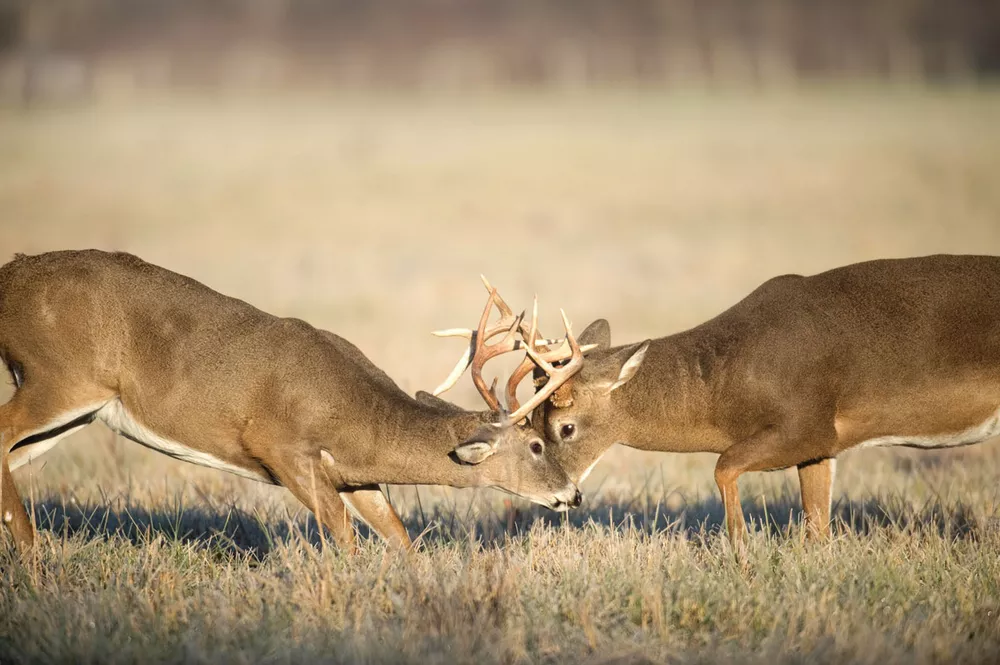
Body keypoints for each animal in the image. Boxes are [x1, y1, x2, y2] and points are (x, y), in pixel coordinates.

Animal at [0, 252, 584, 552]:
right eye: (536, 445)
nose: (573, 495)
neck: (358, 417)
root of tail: (10, 275)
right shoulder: (281, 449)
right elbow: (346, 538)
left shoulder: (355, 475)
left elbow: (400, 539)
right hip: (59, 377)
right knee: (3, 434)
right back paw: (32, 555)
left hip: (78, 410)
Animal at [442, 256, 1000, 552]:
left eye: (564, 428)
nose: (566, 496)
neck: (724, 387)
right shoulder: (821, 445)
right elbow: (816, 527)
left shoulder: (806, 422)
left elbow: (723, 466)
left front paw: (741, 555)